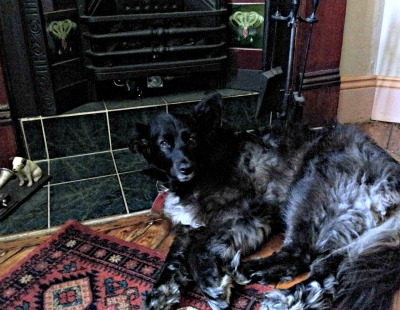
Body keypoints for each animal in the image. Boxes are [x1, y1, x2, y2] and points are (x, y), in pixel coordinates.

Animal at [130, 94, 400, 310]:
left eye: (192, 139)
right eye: (164, 143)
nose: (186, 167)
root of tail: (392, 177)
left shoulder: (242, 213)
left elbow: (197, 250)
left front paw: (213, 285)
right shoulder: (188, 228)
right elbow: (173, 260)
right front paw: (161, 293)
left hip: (308, 189)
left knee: (300, 255)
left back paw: (264, 283)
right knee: (327, 268)